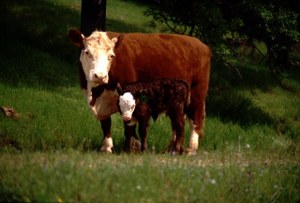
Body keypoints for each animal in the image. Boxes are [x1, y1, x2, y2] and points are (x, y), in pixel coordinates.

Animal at [68, 28, 211, 155]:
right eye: (87, 52)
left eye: (111, 56)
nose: (100, 75)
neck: (97, 93)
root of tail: (200, 44)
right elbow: (106, 124)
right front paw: (106, 147)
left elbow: (130, 125)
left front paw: (134, 146)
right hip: (176, 105)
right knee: (177, 123)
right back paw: (171, 148)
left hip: (197, 94)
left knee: (195, 119)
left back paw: (191, 149)